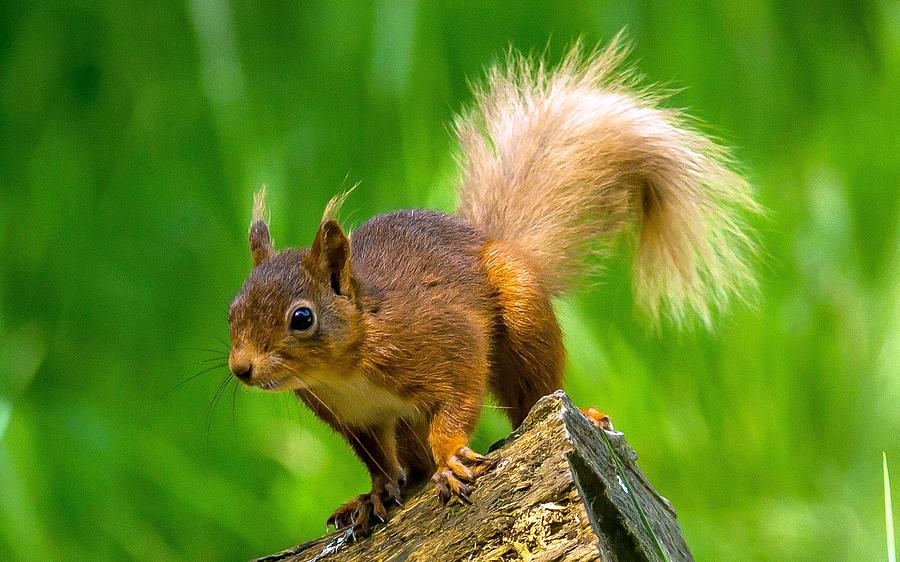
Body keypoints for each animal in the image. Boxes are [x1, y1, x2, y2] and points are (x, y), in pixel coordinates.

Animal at [227, 39, 760, 532]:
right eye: (232, 310)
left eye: (302, 318)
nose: (240, 368)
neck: (345, 369)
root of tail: (493, 241)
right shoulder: (353, 418)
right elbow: (376, 461)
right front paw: (373, 494)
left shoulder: (443, 339)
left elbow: (458, 398)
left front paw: (450, 460)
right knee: (411, 460)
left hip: (521, 316)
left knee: (535, 394)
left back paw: (581, 412)